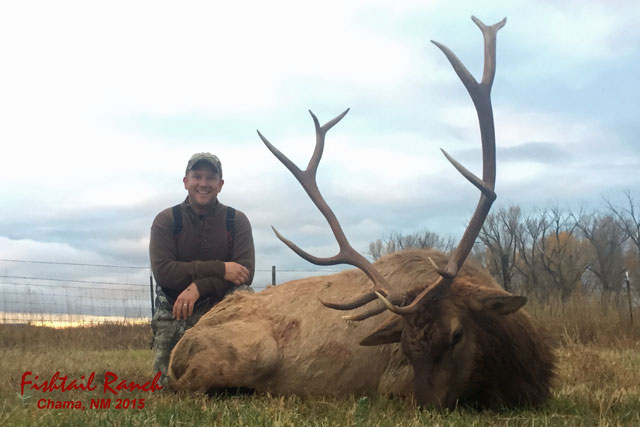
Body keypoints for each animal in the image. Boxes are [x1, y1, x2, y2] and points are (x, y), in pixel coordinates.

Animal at [168, 16, 555, 410]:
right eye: (405, 348)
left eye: (457, 335)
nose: (427, 404)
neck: (523, 371)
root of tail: (175, 352)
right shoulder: (392, 382)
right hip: (252, 353)